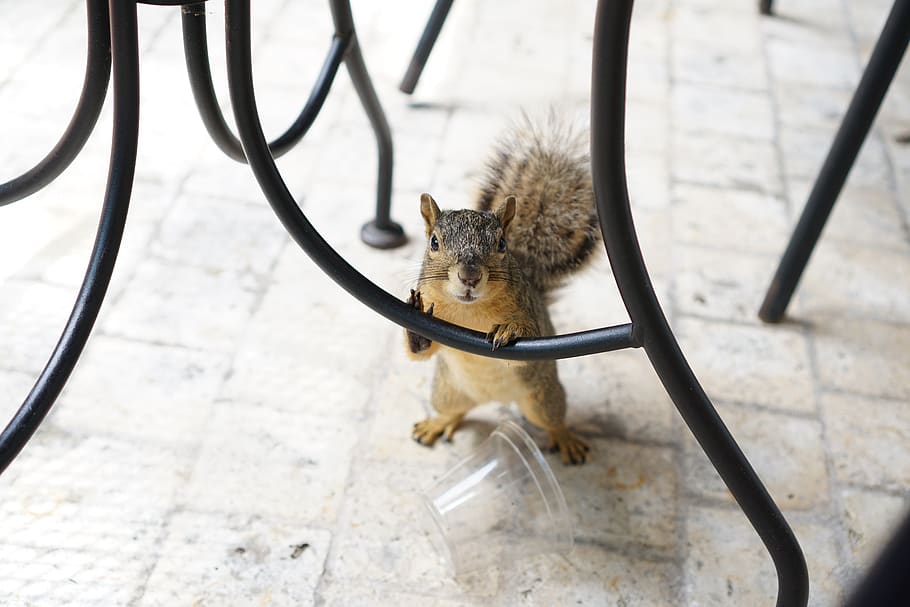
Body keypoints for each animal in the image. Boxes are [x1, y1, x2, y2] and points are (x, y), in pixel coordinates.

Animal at [404, 119, 601, 465]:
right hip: (445, 391)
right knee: (453, 412)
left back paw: (566, 439)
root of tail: (492, 399)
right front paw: (415, 321)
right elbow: (423, 352)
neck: (469, 310)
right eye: (434, 242)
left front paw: (509, 329)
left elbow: (530, 337)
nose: (469, 276)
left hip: (543, 399)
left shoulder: (530, 315)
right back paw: (436, 424)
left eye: (501, 244)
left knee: (554, 420)